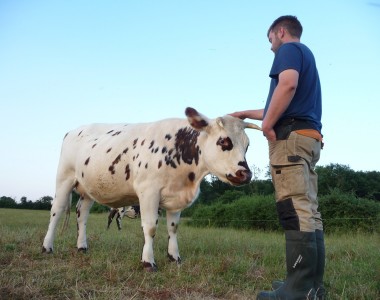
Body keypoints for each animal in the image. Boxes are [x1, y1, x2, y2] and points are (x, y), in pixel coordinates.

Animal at [41, 106, 262, 270]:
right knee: (56, 211)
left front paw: (175, 258)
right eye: (224, 141)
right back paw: (47, 247)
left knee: (82, 214)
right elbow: (151, 227)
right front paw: (148, 261)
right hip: (64, 178)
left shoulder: (175, 198)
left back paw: (82, 247)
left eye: (247, 145)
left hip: (88, 189)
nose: (246, 174)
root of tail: (74, 130)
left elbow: (173, 228)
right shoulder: (148, 192)